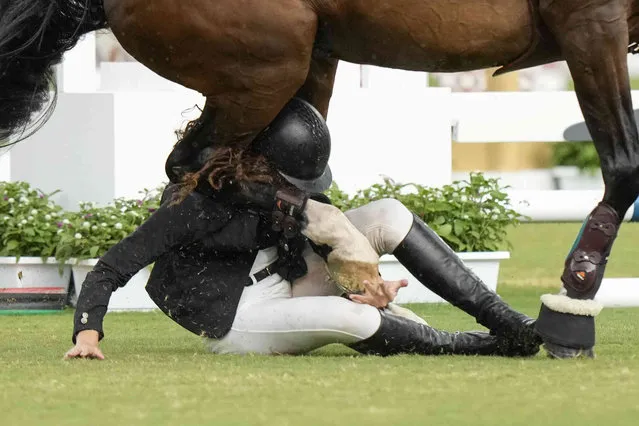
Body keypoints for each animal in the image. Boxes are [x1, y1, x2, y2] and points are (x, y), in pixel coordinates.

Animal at [1, 0, 639, 360]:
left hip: (305, 56)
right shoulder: (591, 19)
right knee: (196, 167)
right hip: (264, 65)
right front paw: (574, 304)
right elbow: (625, 166)